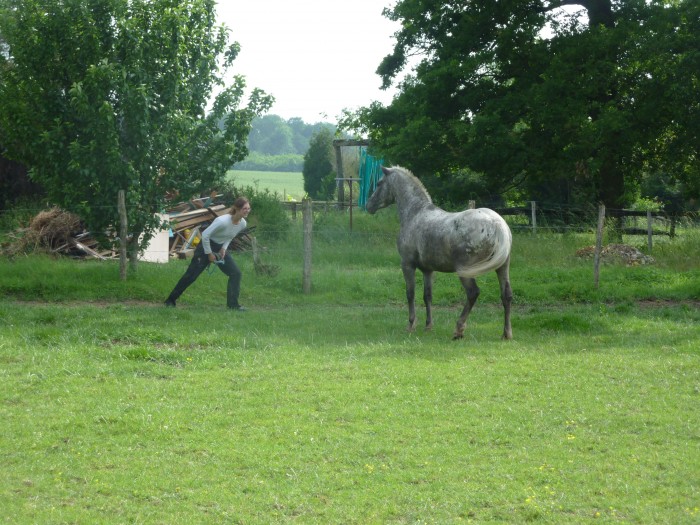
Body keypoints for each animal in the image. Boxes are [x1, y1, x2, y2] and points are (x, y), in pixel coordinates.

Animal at [366, 167, 516, 340]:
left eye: (379, 183)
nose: (368, 205)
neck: (415, 213)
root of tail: (497, 224)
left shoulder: (407, 265)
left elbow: (410, 293)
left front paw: (411, 325)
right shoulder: (428, 270)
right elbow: (427, 296)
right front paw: (428, 326)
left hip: (465, 271)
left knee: (473, 293)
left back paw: (458, 330)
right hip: (502, 268)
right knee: (506, 295)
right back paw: (506, 333)